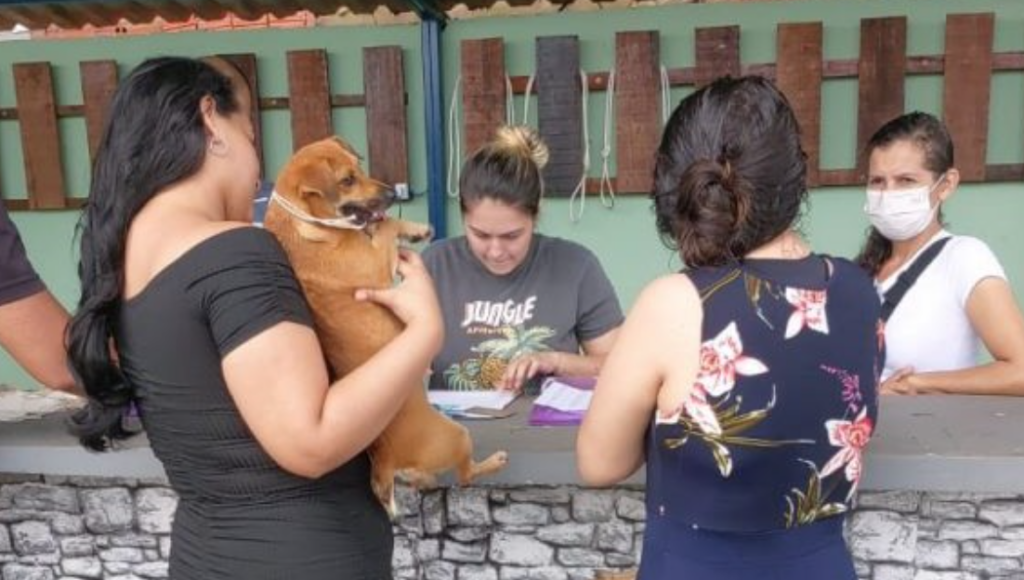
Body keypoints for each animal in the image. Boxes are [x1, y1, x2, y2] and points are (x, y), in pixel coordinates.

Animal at [262, 138, 505, 516]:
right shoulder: (373, 266)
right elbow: (386, 225)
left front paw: (415, 229)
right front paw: (409, 228)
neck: (308, 226)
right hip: (456, 436)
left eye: (360, 168)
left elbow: (384, 223)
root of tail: (387, 460)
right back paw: (493, 461)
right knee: (466, 476)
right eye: (347, 180)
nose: (392, 193)